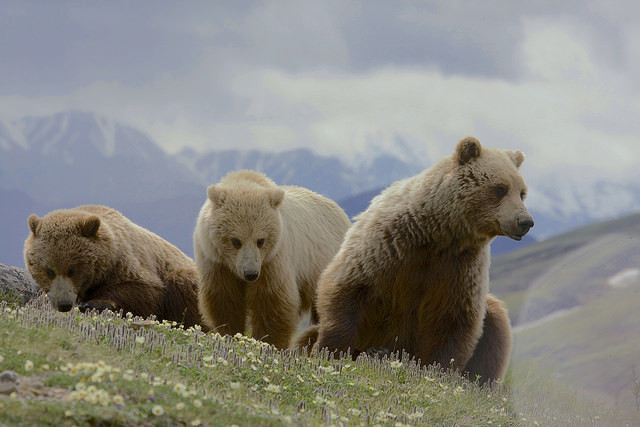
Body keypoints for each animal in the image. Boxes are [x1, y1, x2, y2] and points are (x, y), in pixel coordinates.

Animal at [24, 205, 206, 330]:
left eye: (72, 270)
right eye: (49, 271)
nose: (64, 304)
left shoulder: (128, 262)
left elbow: (143, 289)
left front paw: (94, 304)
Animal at [193, 170, 351, 349]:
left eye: (260, 240)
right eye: (236, 241)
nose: (251, 274)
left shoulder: (273, 261)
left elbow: (271, 304)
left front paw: (267, 342)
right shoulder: (216, 262)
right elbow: (225, 301)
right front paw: (229, 334)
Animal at [297, 137, 533, 383]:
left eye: (522, 192)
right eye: (500, 188)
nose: (525, 221)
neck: (438, 233)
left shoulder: (460, 267)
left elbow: (454, 321)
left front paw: (435, 370)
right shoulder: (387, 246)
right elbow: (346, 288)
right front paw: (329, 351)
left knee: (495, 324)